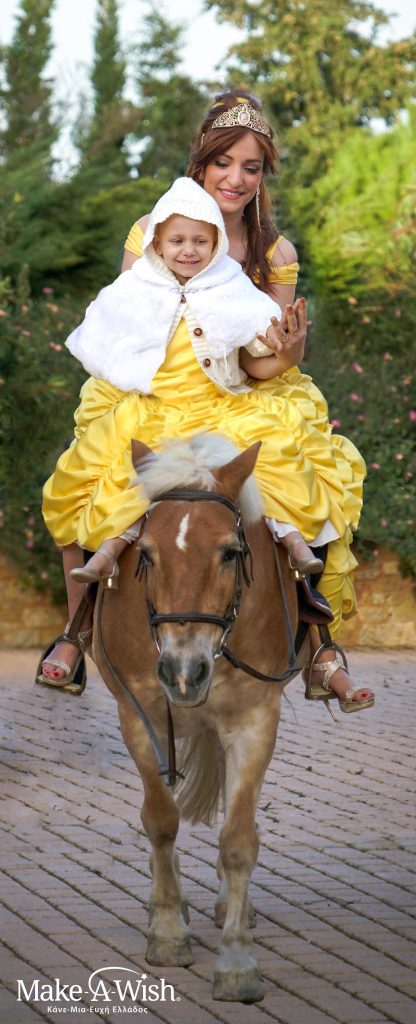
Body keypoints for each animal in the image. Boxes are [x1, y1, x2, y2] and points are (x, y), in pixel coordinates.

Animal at [93, 433, 300, 1003]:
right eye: (145, 554)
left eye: (230, 553)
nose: (183, 672)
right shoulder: (138, 713)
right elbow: (160, 820)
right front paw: (167, 932)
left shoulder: (255, 719)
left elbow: (238, 838)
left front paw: (236, 961)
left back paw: (233, 906)